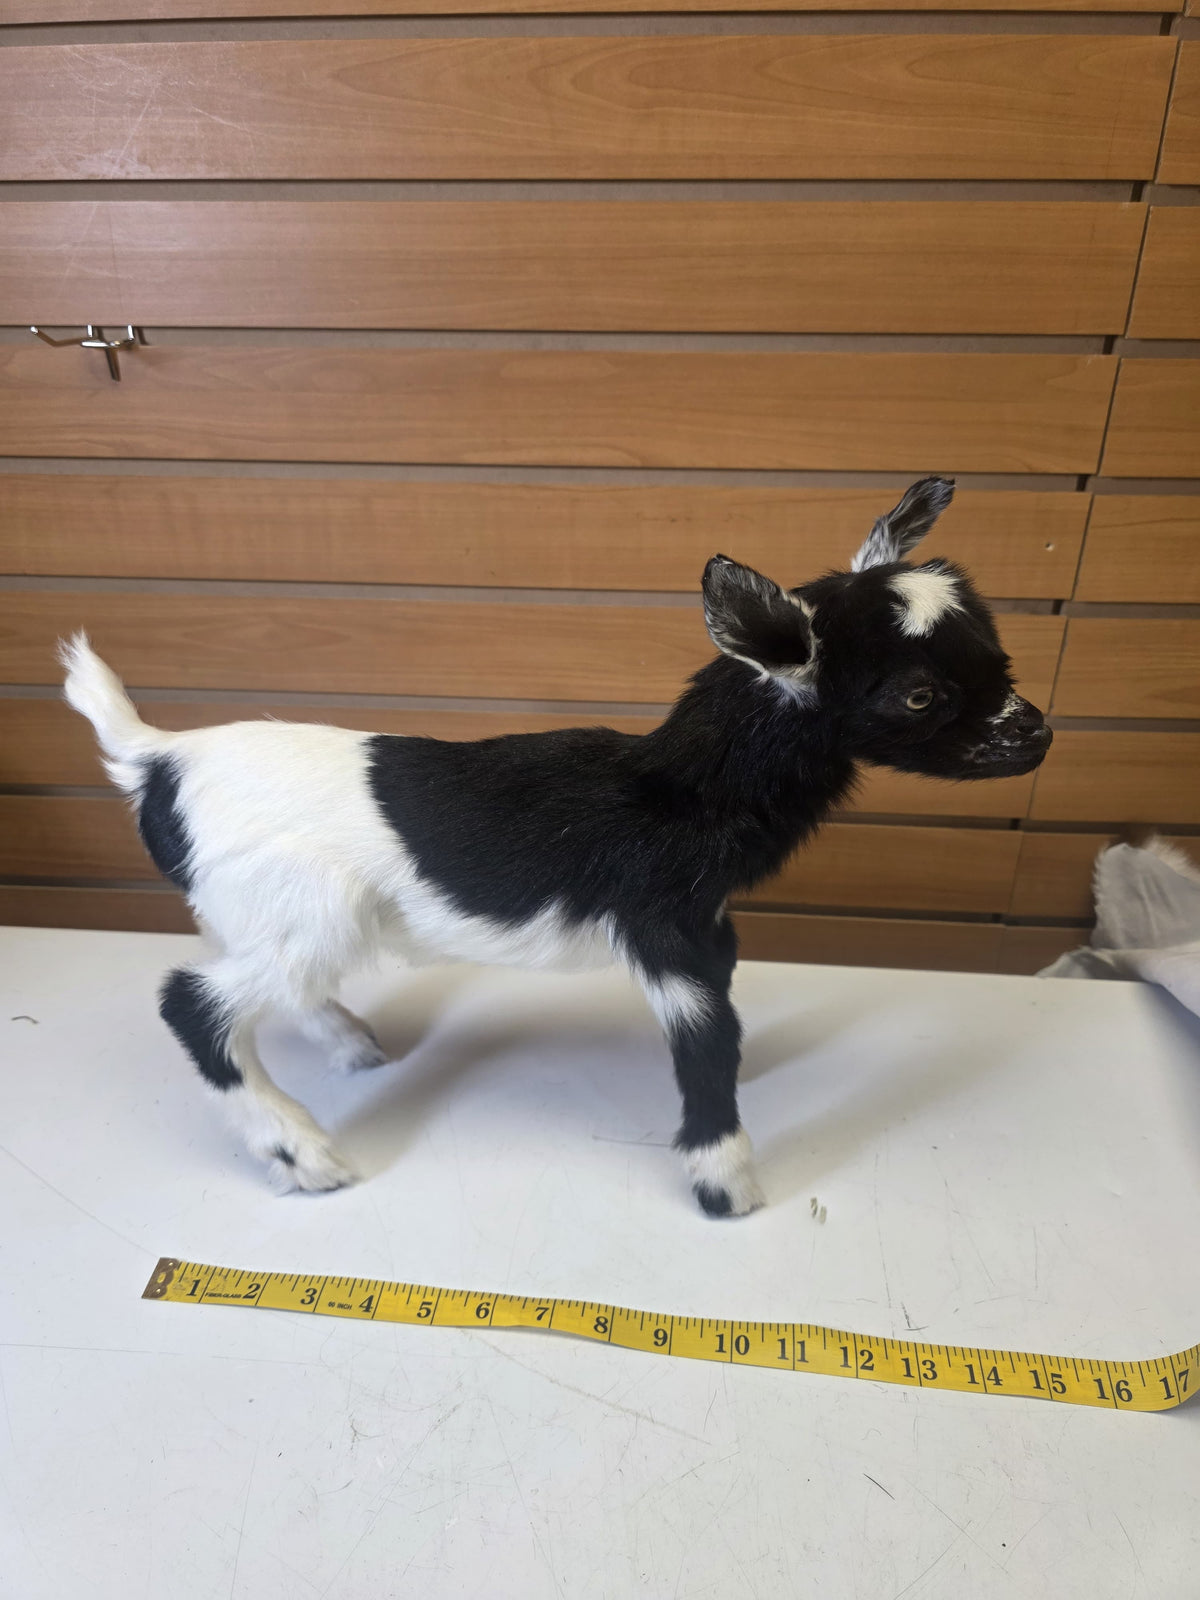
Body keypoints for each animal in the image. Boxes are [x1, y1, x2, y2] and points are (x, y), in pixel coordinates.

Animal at [62, 476, 1051, 1216]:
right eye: (918, 694)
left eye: (997, 651)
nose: (1038, 735)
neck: (678, 788)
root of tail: (156, 757)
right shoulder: (662, 924)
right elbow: (706, 1034)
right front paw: (724, 1178)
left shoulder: (708, 921)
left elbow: (729, 1002)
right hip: (309, 910)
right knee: (194, 1004)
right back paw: (304, 1154)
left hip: (265, 917)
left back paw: (352, 1045)